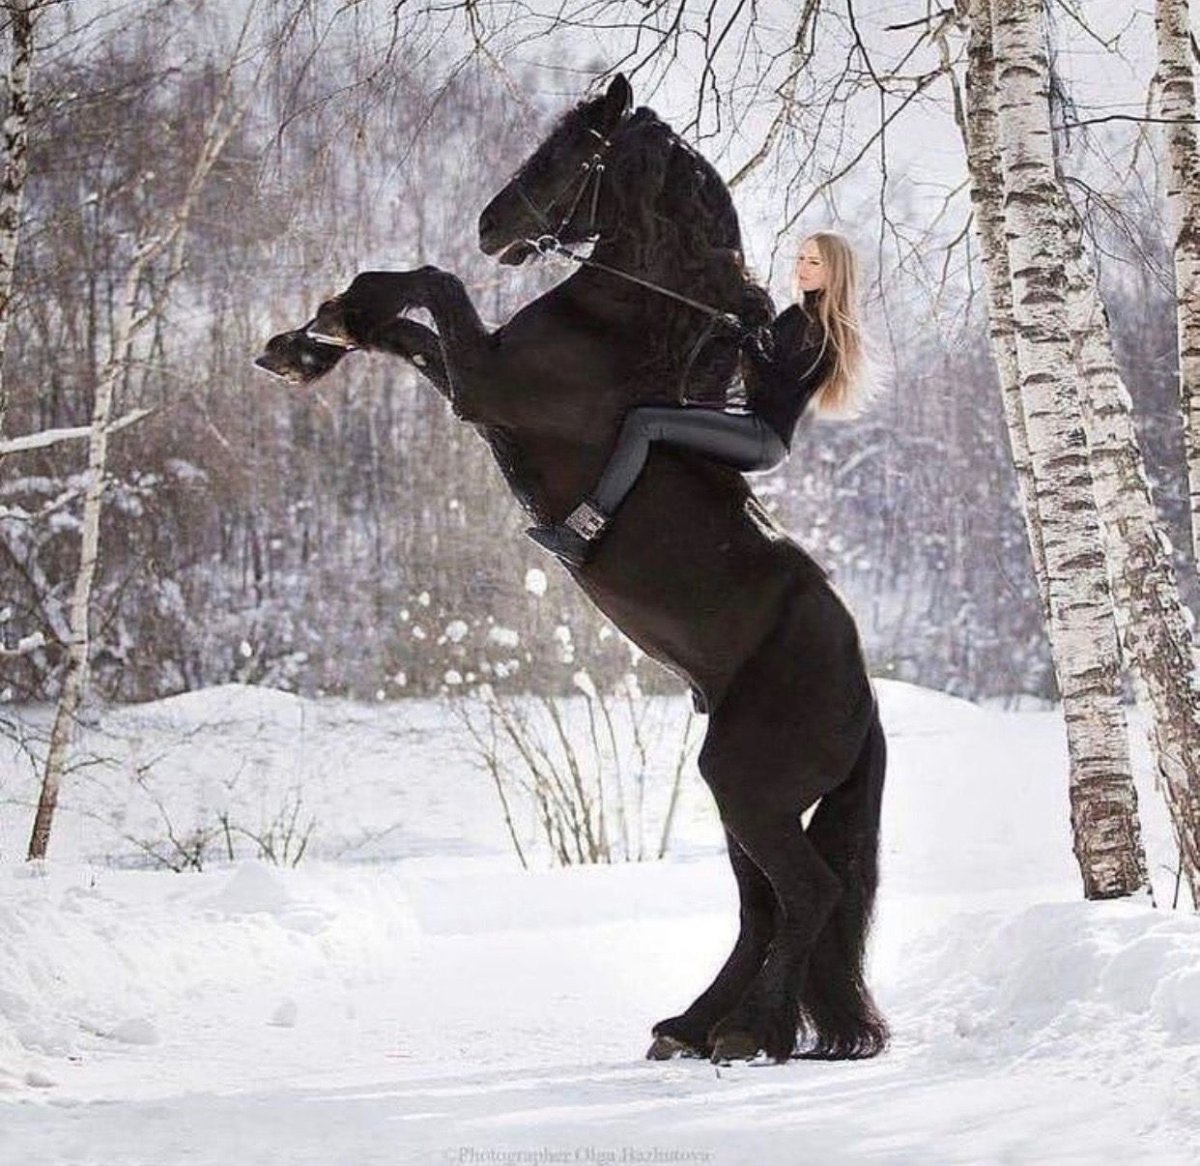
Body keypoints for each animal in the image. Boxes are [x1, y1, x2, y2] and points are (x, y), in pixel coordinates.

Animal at [256, 74, 889, 1064]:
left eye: (568, 152)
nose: (490, 225)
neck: (626, 324)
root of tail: (863, 706)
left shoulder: (485, 385)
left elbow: (427, 288)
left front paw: (334, 318)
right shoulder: (475, 381)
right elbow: (409, 327)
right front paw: (307, 343)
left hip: (748, 788)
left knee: (806, 895)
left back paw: (747, 1035)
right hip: (741, 796)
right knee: (763, 906)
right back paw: (691, 1027)